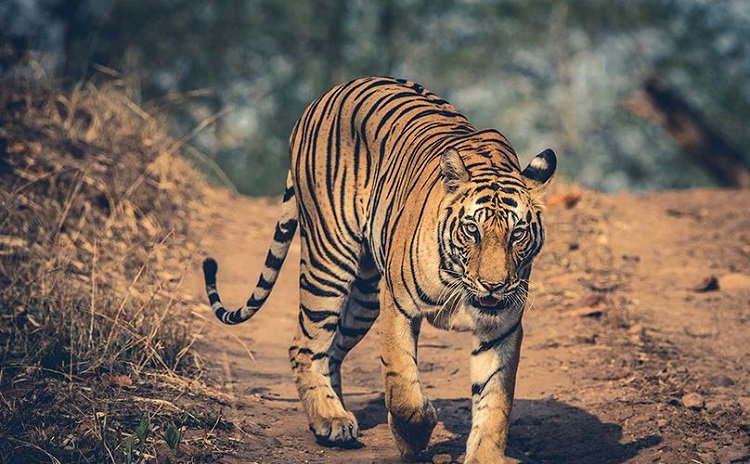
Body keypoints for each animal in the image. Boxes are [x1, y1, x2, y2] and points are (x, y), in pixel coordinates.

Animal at [202, 76, 556, 463]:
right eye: (471, 230)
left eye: (517, 234)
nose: (493, 285)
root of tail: (324, 96)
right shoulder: (398, 304)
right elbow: (402, 384)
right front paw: (414, 436)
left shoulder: (501, 328)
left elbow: (495, 403)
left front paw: (484, 455)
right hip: (329, 260)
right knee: (305, 345)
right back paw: (330, 421)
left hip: (364, 297)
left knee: (332, 349)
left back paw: (335, 411)